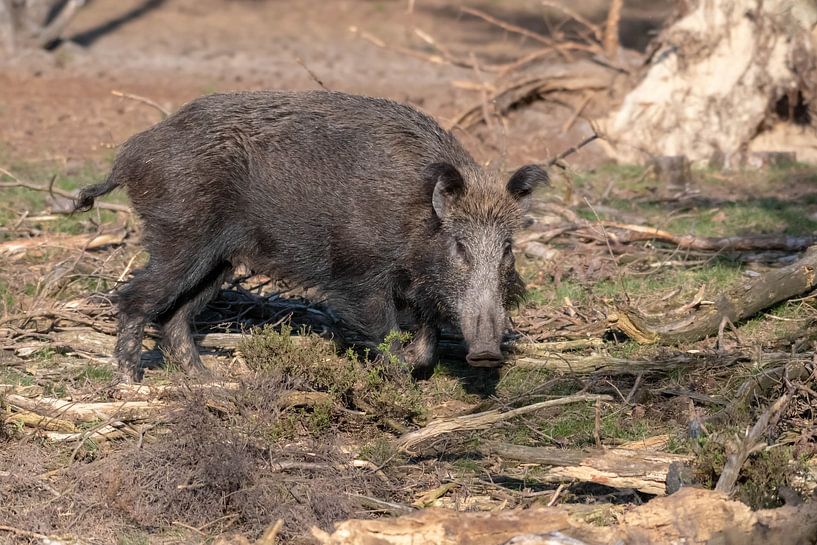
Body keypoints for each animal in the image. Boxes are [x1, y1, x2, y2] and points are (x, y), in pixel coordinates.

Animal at [73, 90, 548, 382]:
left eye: (507, 248)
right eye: (460, 246)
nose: (486, 353)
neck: (416, 218)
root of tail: (130, 156)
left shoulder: (418, 287)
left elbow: (427, 333)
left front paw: (416, 363)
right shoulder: (358, 276)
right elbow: (383, 330)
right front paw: (400, 378)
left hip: (218, 260)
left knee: (175, 315)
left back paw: (210, 380)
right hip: (180, 238)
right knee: (133, 298)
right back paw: (130, 381)